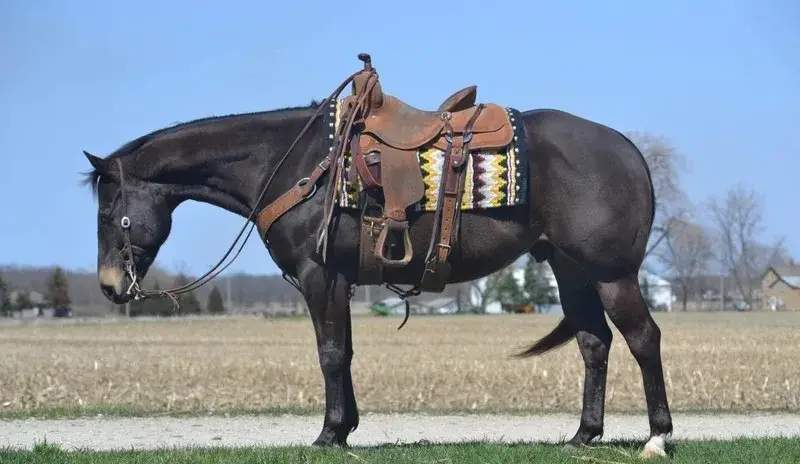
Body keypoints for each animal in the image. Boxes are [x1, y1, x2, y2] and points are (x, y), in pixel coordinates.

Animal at [81, 57, 672, 458]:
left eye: (109, 212)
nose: (109, 285)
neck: (292, 163)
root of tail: (625, 148)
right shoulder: (340, 280)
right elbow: (344, 352)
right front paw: (345, 429)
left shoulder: (318, 276)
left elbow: (328, 354)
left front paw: (327, 434)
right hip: (570, 270)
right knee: (594, 343)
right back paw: (583, 435)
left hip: (612, 274)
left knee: (643, 339)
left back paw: (658, 437)